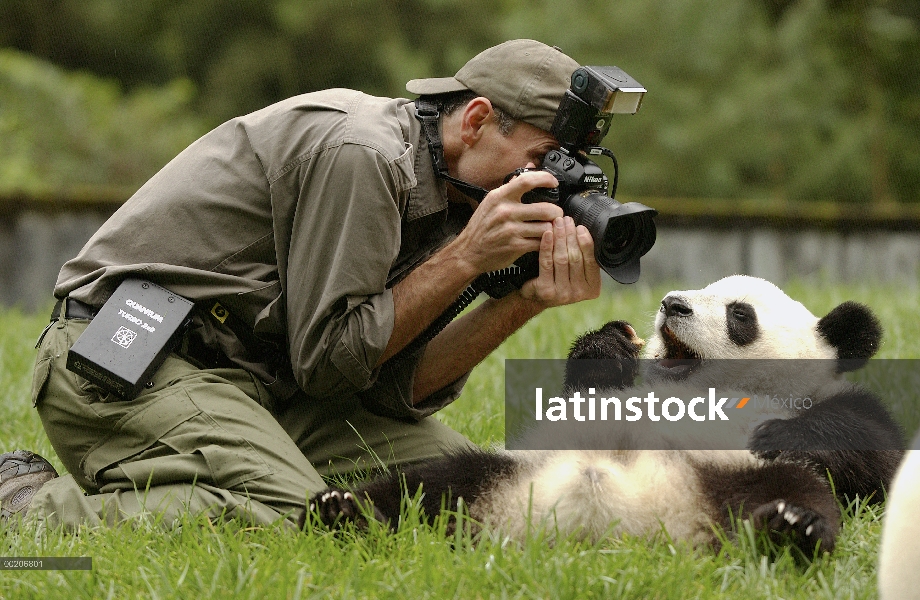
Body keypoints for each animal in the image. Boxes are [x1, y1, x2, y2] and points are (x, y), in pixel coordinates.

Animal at [306, 276, 904, 552]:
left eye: (739, 315)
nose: (672, 304)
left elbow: (874, 453)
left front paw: (780, 431)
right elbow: (583, 387)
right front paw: (611, 344)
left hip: (733, 478)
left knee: (796, 496)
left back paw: (789, 529)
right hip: (505, 470)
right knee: (425, 486)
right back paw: (340, 512)